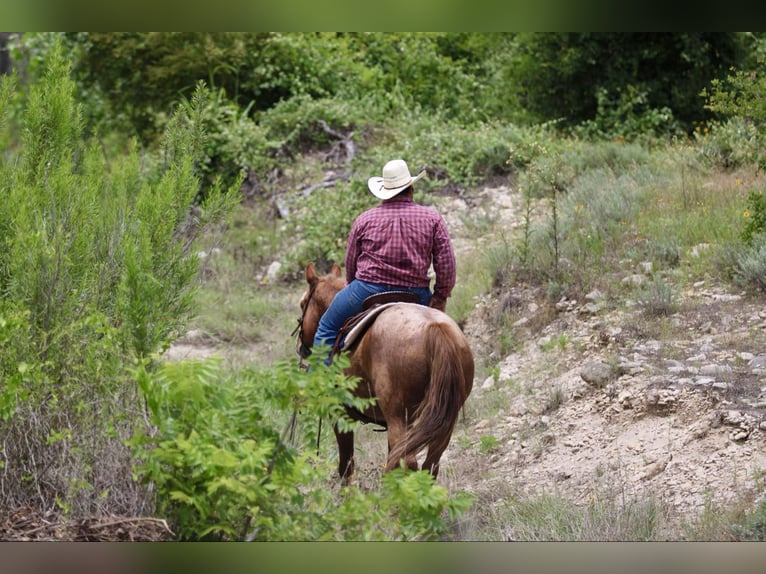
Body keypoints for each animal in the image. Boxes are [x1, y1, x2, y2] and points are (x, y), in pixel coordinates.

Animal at [295, 262, 474, 484]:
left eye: (303, 304)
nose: (301, 347)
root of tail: (435, 327)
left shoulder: (340, 413)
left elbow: (346, 464)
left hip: (398, 413)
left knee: (407, 461)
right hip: (444, 418)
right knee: (429, 465)